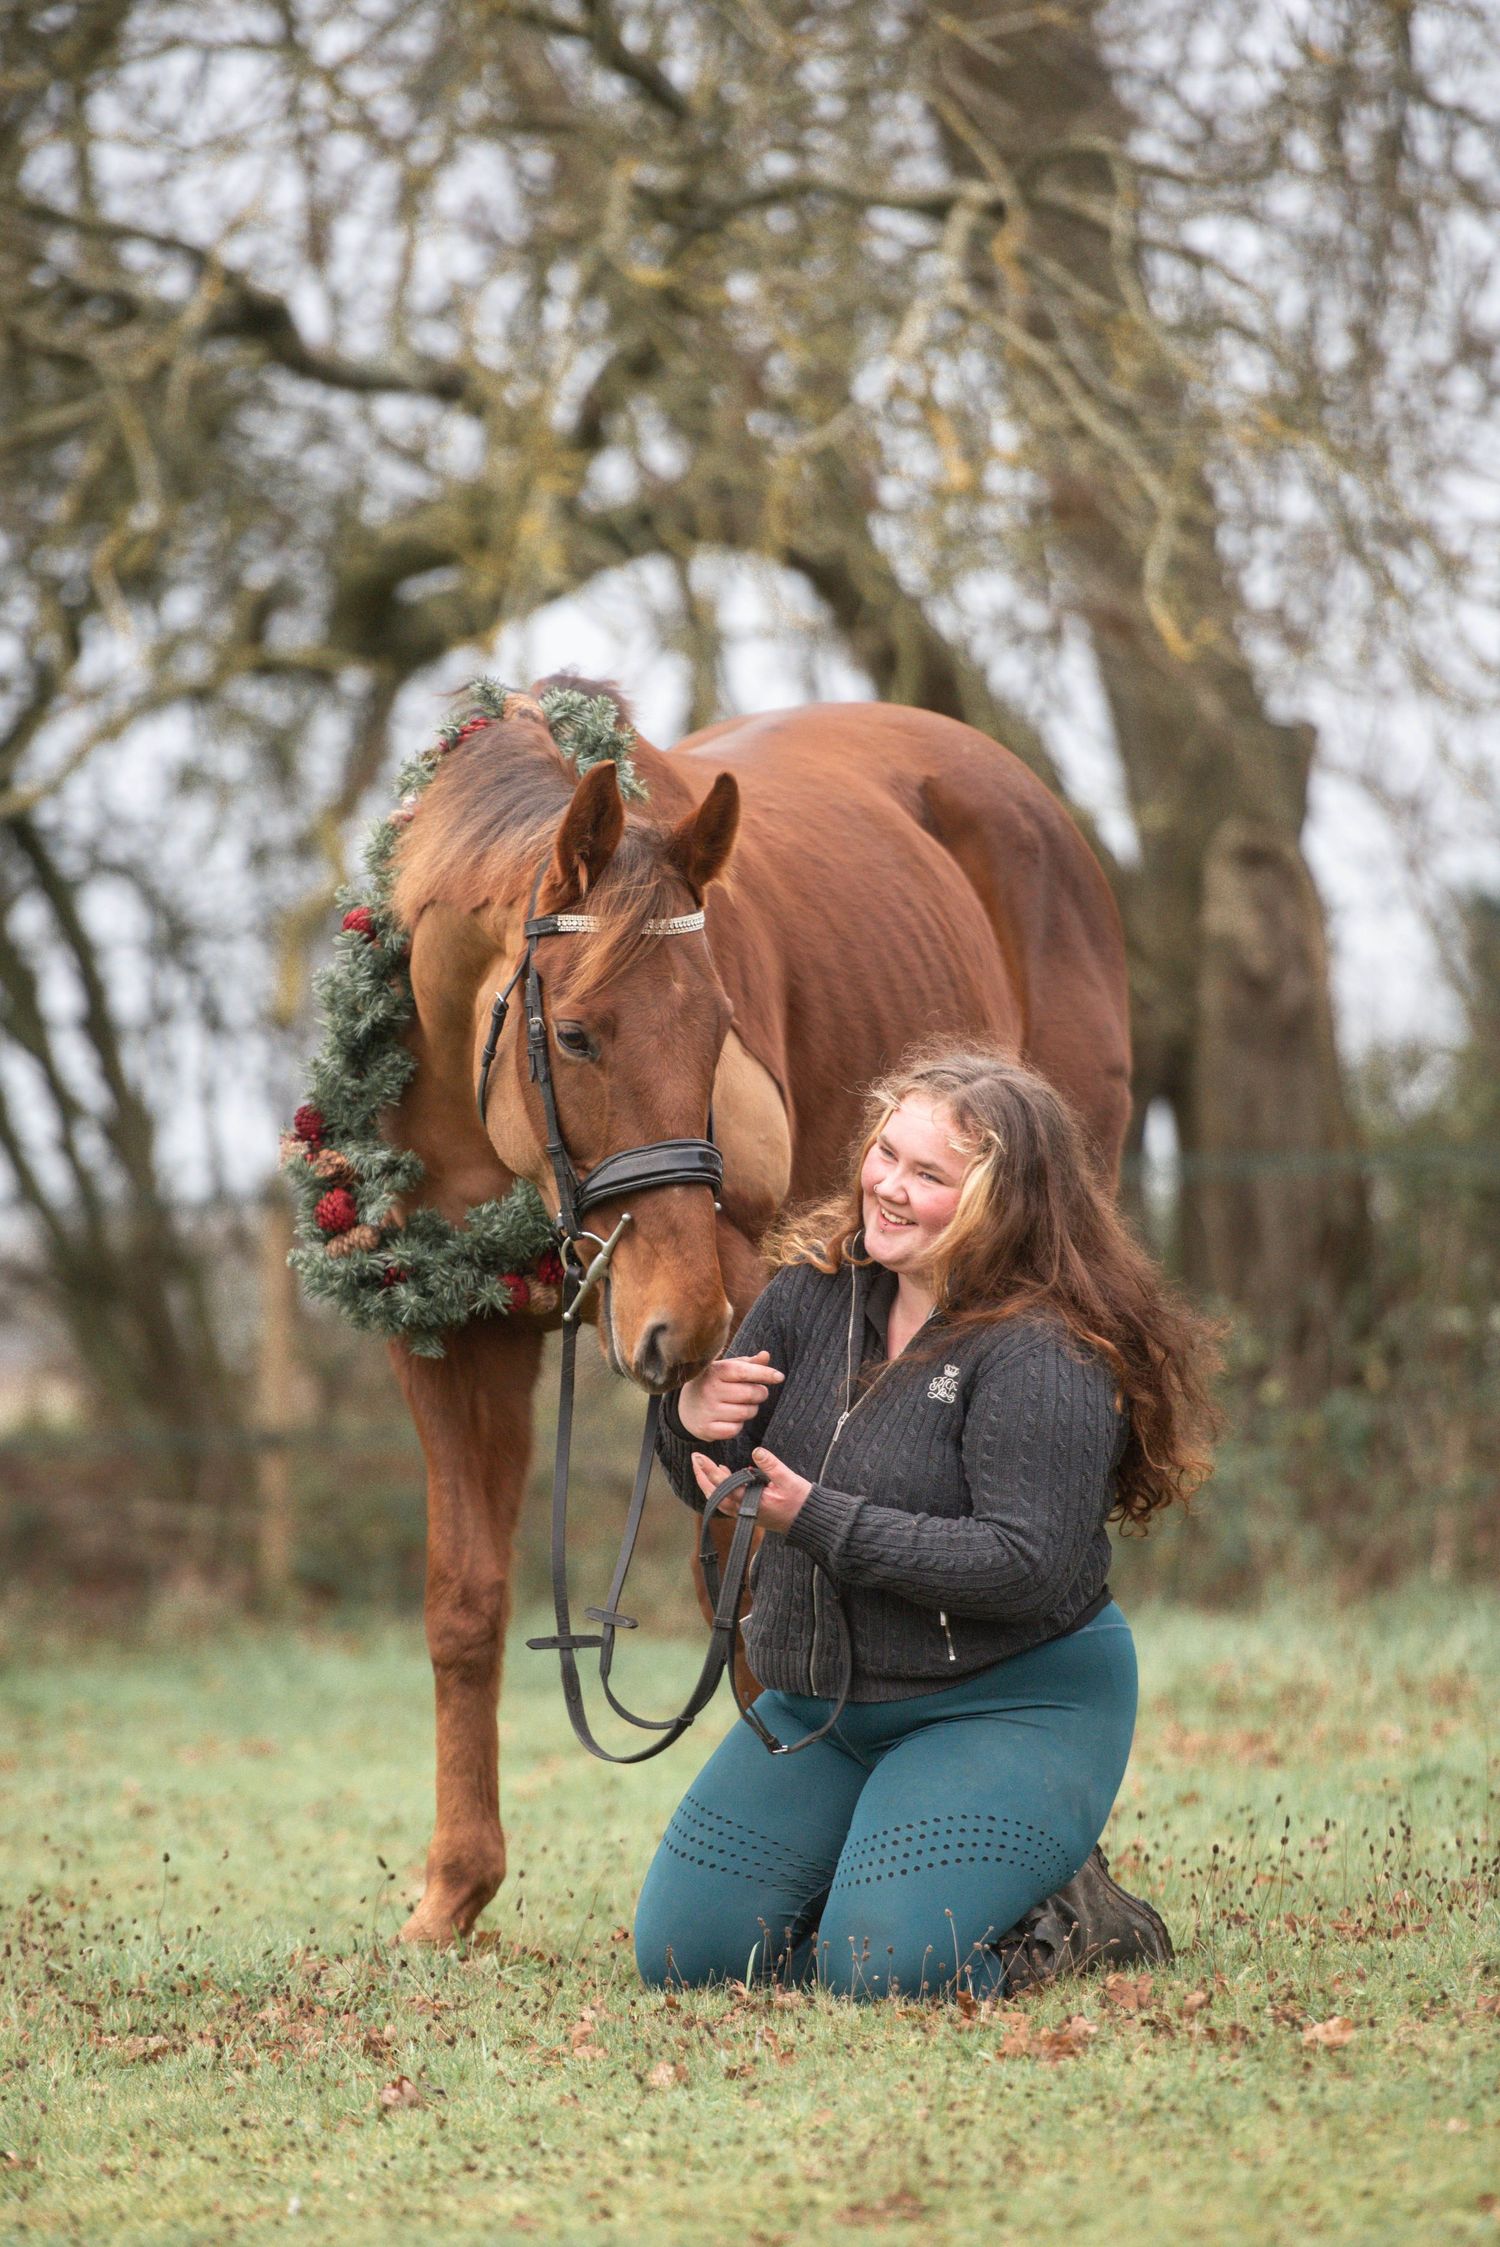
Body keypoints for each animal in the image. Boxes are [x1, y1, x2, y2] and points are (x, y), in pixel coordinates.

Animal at [381, 677, 1130, 1944]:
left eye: (715, 1022)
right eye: (574, 1031)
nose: (681, 1324)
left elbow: (746, 1565)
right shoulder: (445, 1332)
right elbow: (464, 1602)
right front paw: (451, 1895)